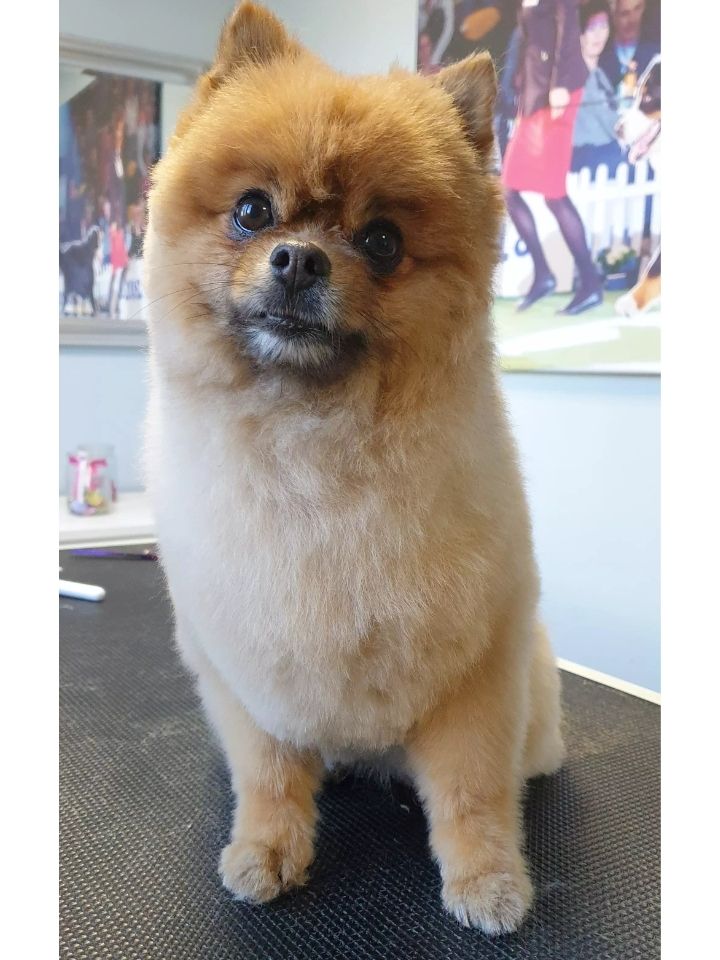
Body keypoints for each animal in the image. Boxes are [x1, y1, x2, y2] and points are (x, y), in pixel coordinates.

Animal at [144, 1, 563, 935]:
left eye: (381, 241)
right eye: (252, 210)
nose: (300, 258)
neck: (316, 444)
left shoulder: (476, 671)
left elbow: (473, 792)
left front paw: (489, 879)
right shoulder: (248, 669)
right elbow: (267, 776)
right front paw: (267, 850)